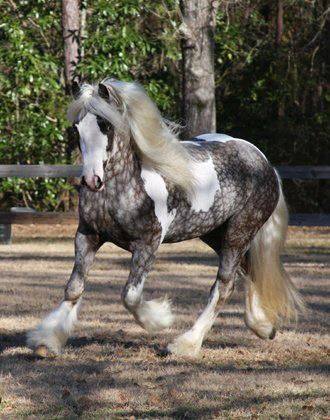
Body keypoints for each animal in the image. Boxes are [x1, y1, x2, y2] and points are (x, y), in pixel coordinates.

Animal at [25, 79, 304, 358]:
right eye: (77, 127)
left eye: (106, 125)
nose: (92, 180)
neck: (125, 186)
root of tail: (264, 162)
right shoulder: (87, 236)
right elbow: (74, 289)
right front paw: (47, 341)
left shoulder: (148, 243)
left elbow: (130, 296)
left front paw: (160, 319)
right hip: (216, 234)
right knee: (248, 270)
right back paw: (264, 327)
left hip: (239, 234)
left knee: (224, 285)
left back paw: (185, 344)